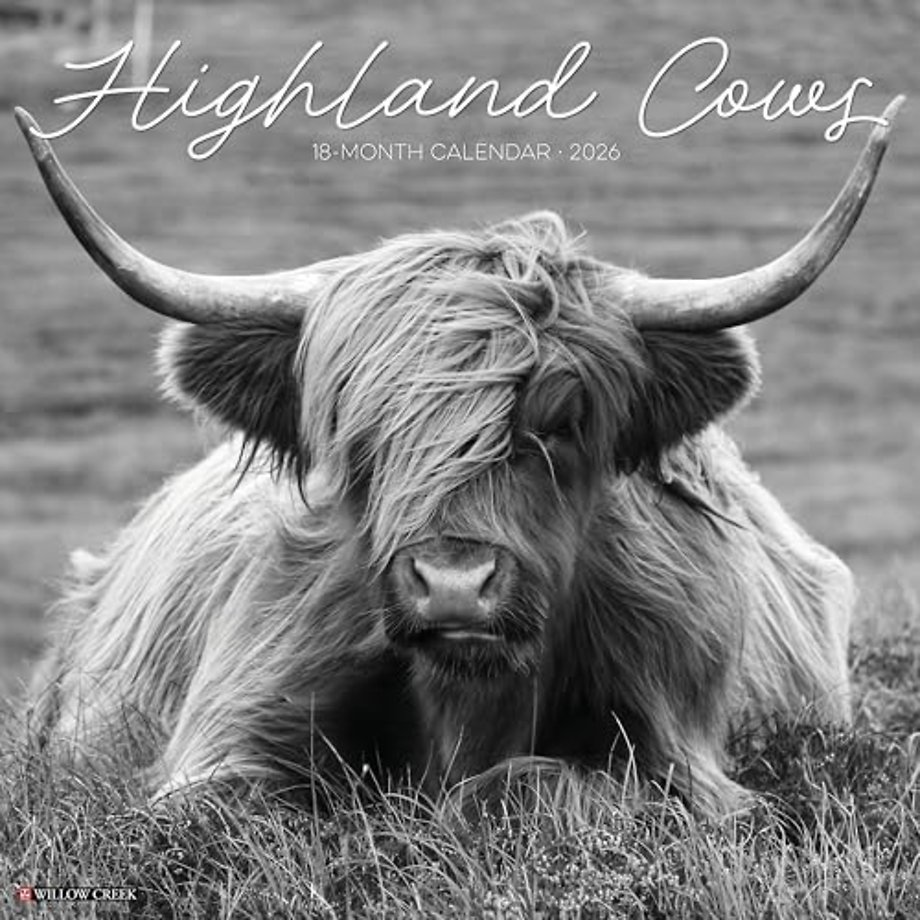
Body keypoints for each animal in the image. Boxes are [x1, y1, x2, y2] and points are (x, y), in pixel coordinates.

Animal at [15, 97, 902, 816]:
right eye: (357, 429)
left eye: (564, 420)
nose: (452, 584)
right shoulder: (223, 741)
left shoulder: (687, 763)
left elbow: (531, 782)